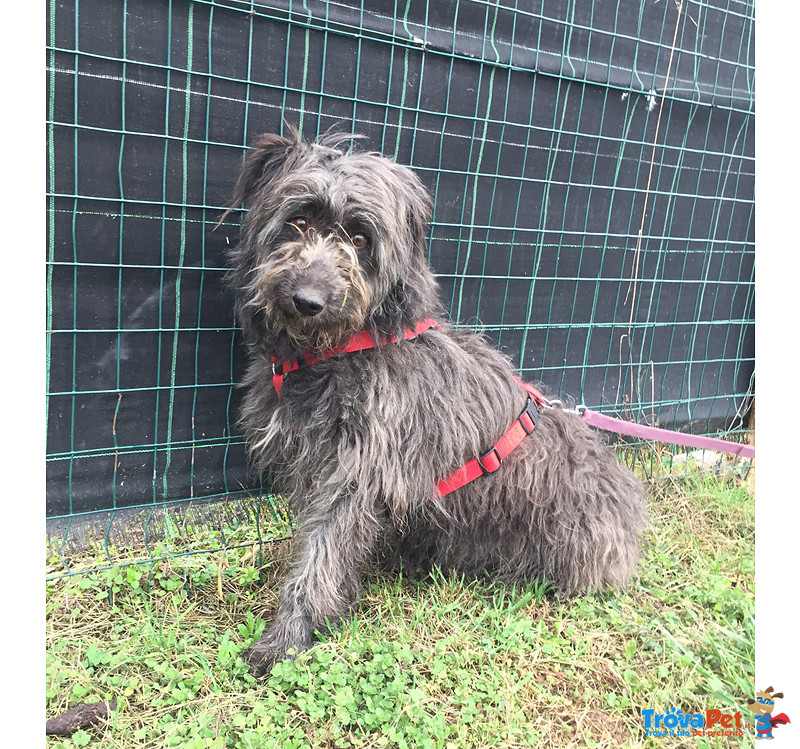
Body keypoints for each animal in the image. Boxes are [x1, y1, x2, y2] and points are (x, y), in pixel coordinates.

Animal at [222, 129, 648, 676]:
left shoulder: (358, 474)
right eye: (297, 220)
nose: (308, 300)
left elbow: (320, 560)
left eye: (360, 239)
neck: (341, 350)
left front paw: (285, 639)